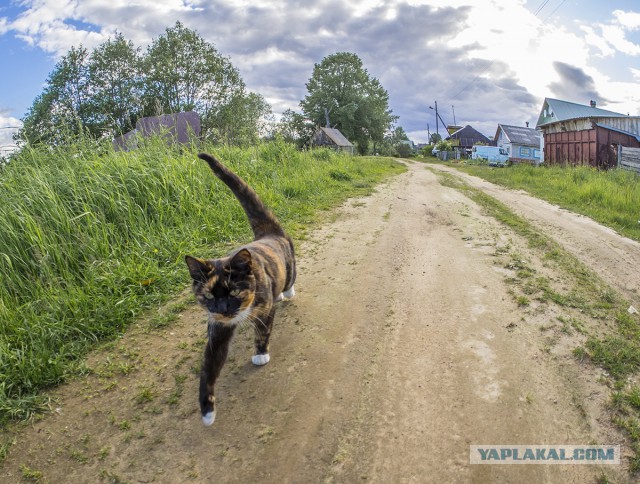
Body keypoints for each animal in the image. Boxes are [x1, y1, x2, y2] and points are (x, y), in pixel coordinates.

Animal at [184, 153, 296, 426]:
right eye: (208, 296)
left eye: (234, 292)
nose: (223, 309)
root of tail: (269, 234)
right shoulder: (217, 329)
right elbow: (208, 368)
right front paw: (207, 410)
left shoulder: (264, 310)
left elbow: (263, 332)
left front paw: (261, 354)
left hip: (290, 267)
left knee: (290, 280)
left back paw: (287, 292)